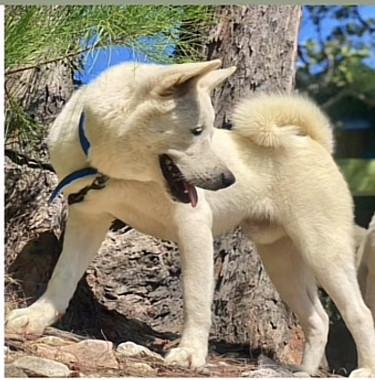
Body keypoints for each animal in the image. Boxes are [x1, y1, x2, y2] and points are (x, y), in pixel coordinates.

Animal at [5, 60, 375, 378]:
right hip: (282, 260)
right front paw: (35, 318)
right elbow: (62, 275)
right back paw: (304, 372)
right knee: (318, 320)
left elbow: (196, 298)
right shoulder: (88, 218)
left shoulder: (194, 229)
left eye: (209, 131)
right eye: (197, 131)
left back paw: (365, 369)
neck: (116, 172)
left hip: (322, 251)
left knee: (360, 313)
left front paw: (190, 353)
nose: (229, 179)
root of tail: (314, 142)